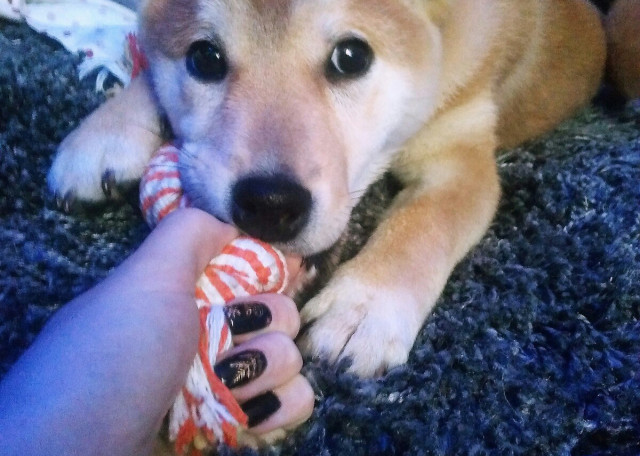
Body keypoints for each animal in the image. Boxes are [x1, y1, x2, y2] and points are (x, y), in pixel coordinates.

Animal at [48, 0, 606, 378]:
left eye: (351, 56)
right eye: (204, 57)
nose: (268, 204)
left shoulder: (460, 151)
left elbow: (425, 224)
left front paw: (365, 309)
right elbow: (148, 72)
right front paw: (105, 133)